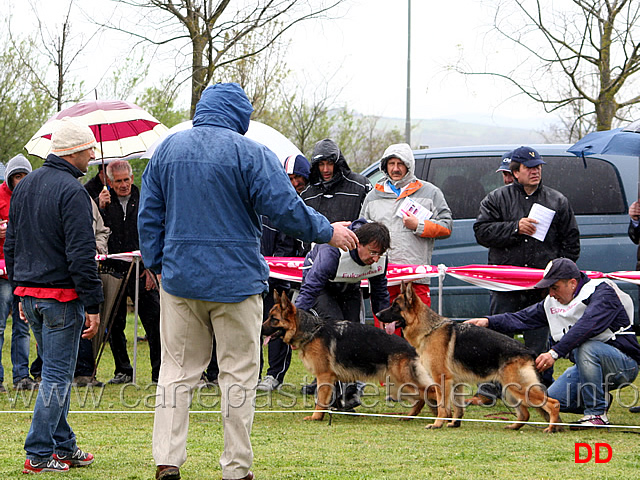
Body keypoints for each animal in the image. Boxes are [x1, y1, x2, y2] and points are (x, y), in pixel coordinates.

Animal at [262, 288, 440, 420]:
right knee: (422, 397)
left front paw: (315, 417)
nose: (260, 331)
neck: (312, 331)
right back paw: (412, 416)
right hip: (398, 384)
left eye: (273, 319)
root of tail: (410, 347)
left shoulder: (324, 376)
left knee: (431, 391)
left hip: (403, 381)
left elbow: (321, 399)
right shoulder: (330, 378)